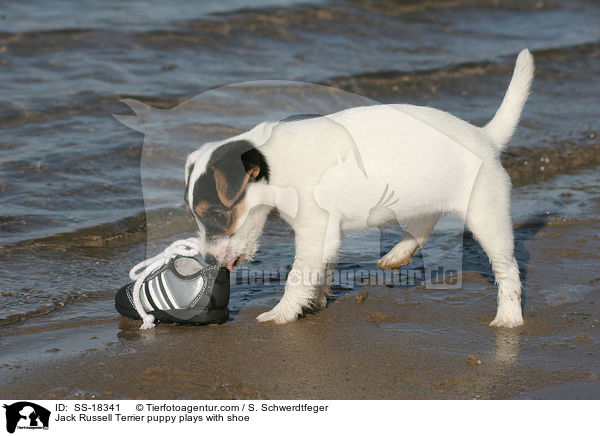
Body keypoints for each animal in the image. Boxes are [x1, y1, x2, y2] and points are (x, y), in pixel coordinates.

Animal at [184, 49, 536, 328]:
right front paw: (315, 299)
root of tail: (485, 137)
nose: (208, 260)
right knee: (425, 220)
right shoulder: (325, 235)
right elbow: (320, 271)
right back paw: (399, 253)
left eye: (218, 215)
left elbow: (298, 276)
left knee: (507, 270)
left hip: (486, 215)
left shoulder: (315, 231)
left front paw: (281, 313)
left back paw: (508, 318)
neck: (275, 164)